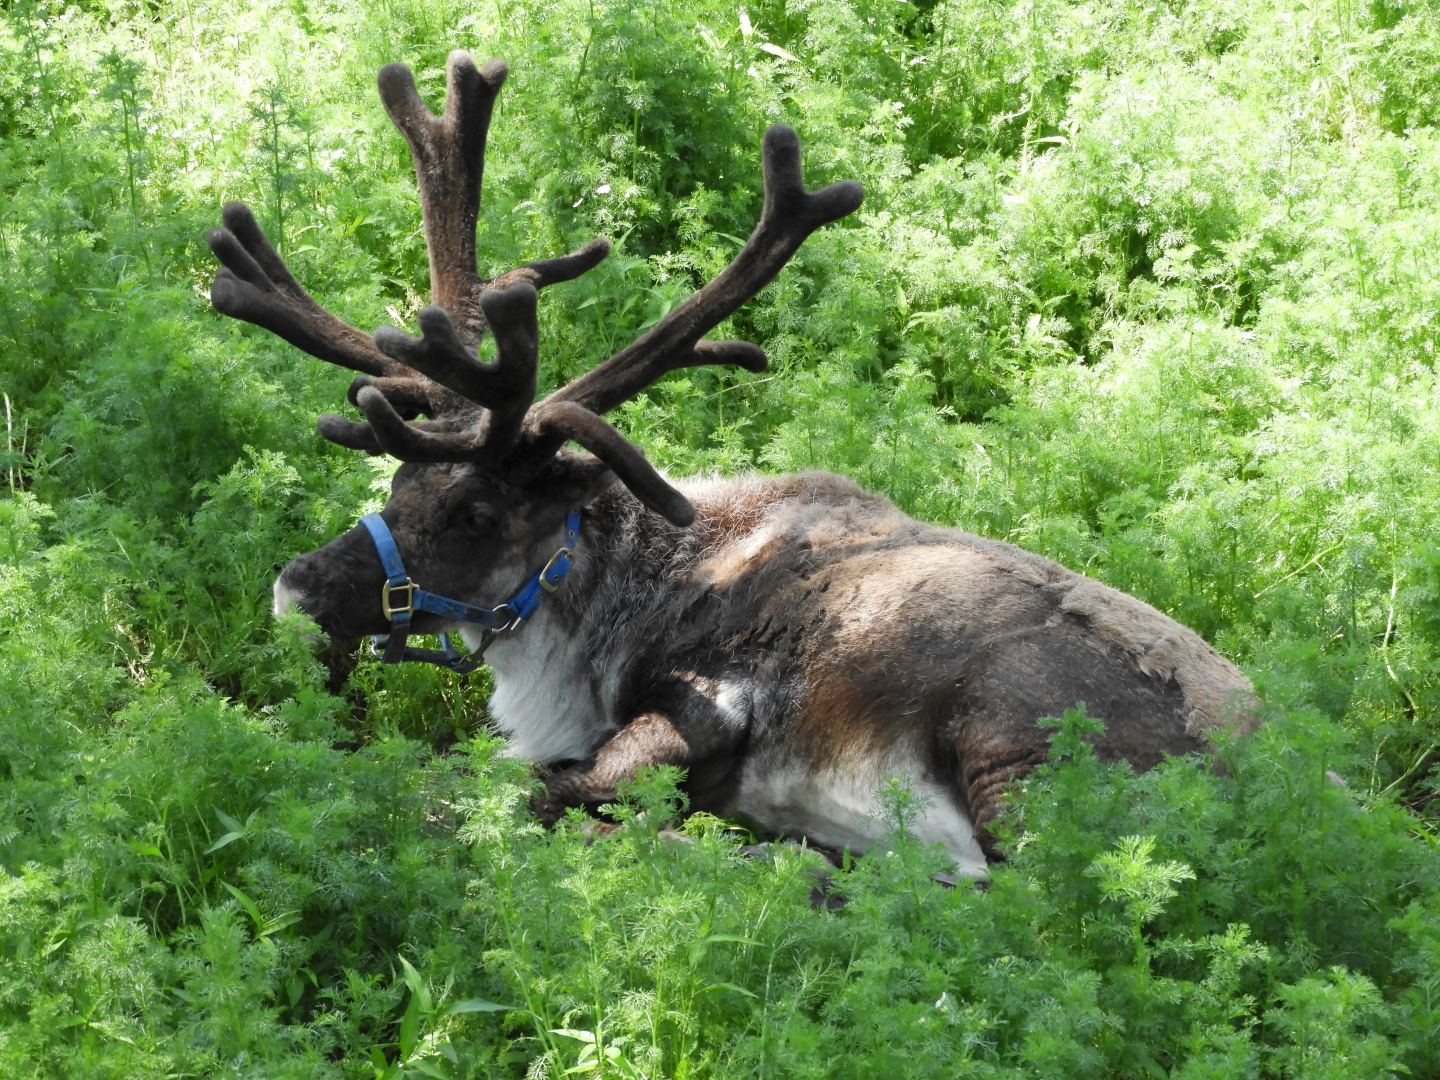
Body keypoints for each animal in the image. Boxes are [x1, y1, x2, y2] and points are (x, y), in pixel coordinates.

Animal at [208, 50, 1257, 879]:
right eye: (398, 480)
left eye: (475, 512)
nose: (296, 587)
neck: (609, 599)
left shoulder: (711, 702)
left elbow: (518, 783)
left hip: (1023, 749)